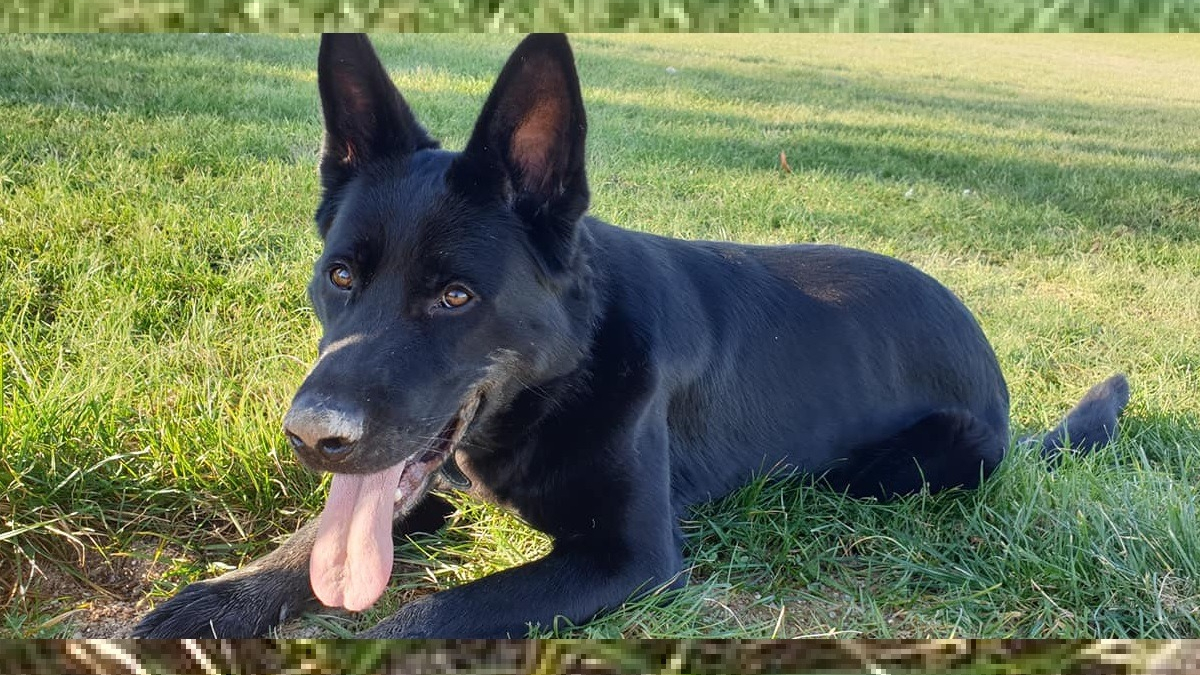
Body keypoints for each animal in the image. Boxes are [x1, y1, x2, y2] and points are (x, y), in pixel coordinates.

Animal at [136, 34, 1128, 634]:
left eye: (455, 296)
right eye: (340, 277)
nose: (311, 435)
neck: (561, 378)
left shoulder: (630, 559)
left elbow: (420, 615)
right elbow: (317, 542)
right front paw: (227, 592)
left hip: (906, 466)